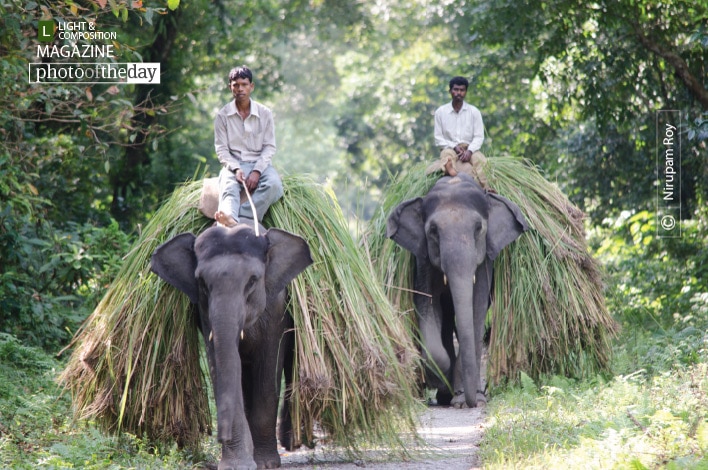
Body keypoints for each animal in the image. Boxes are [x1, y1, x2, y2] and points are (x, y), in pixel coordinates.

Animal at [151, 223, 312, 470]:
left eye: (253, 280)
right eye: (202, 283)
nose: (219, 437)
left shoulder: (276, 308)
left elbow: (268, 373)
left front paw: (266, 464)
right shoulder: (205, 312)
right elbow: (220, 366)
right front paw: (237, 464)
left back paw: (293, 443)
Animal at [384, 172, 528, 408]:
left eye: (479, 229)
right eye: (433, 231)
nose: (472, 403)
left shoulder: (485, 261)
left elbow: (477, 310)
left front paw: (465, 399)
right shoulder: (423, 260)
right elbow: (427, 304)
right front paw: (440, 382)